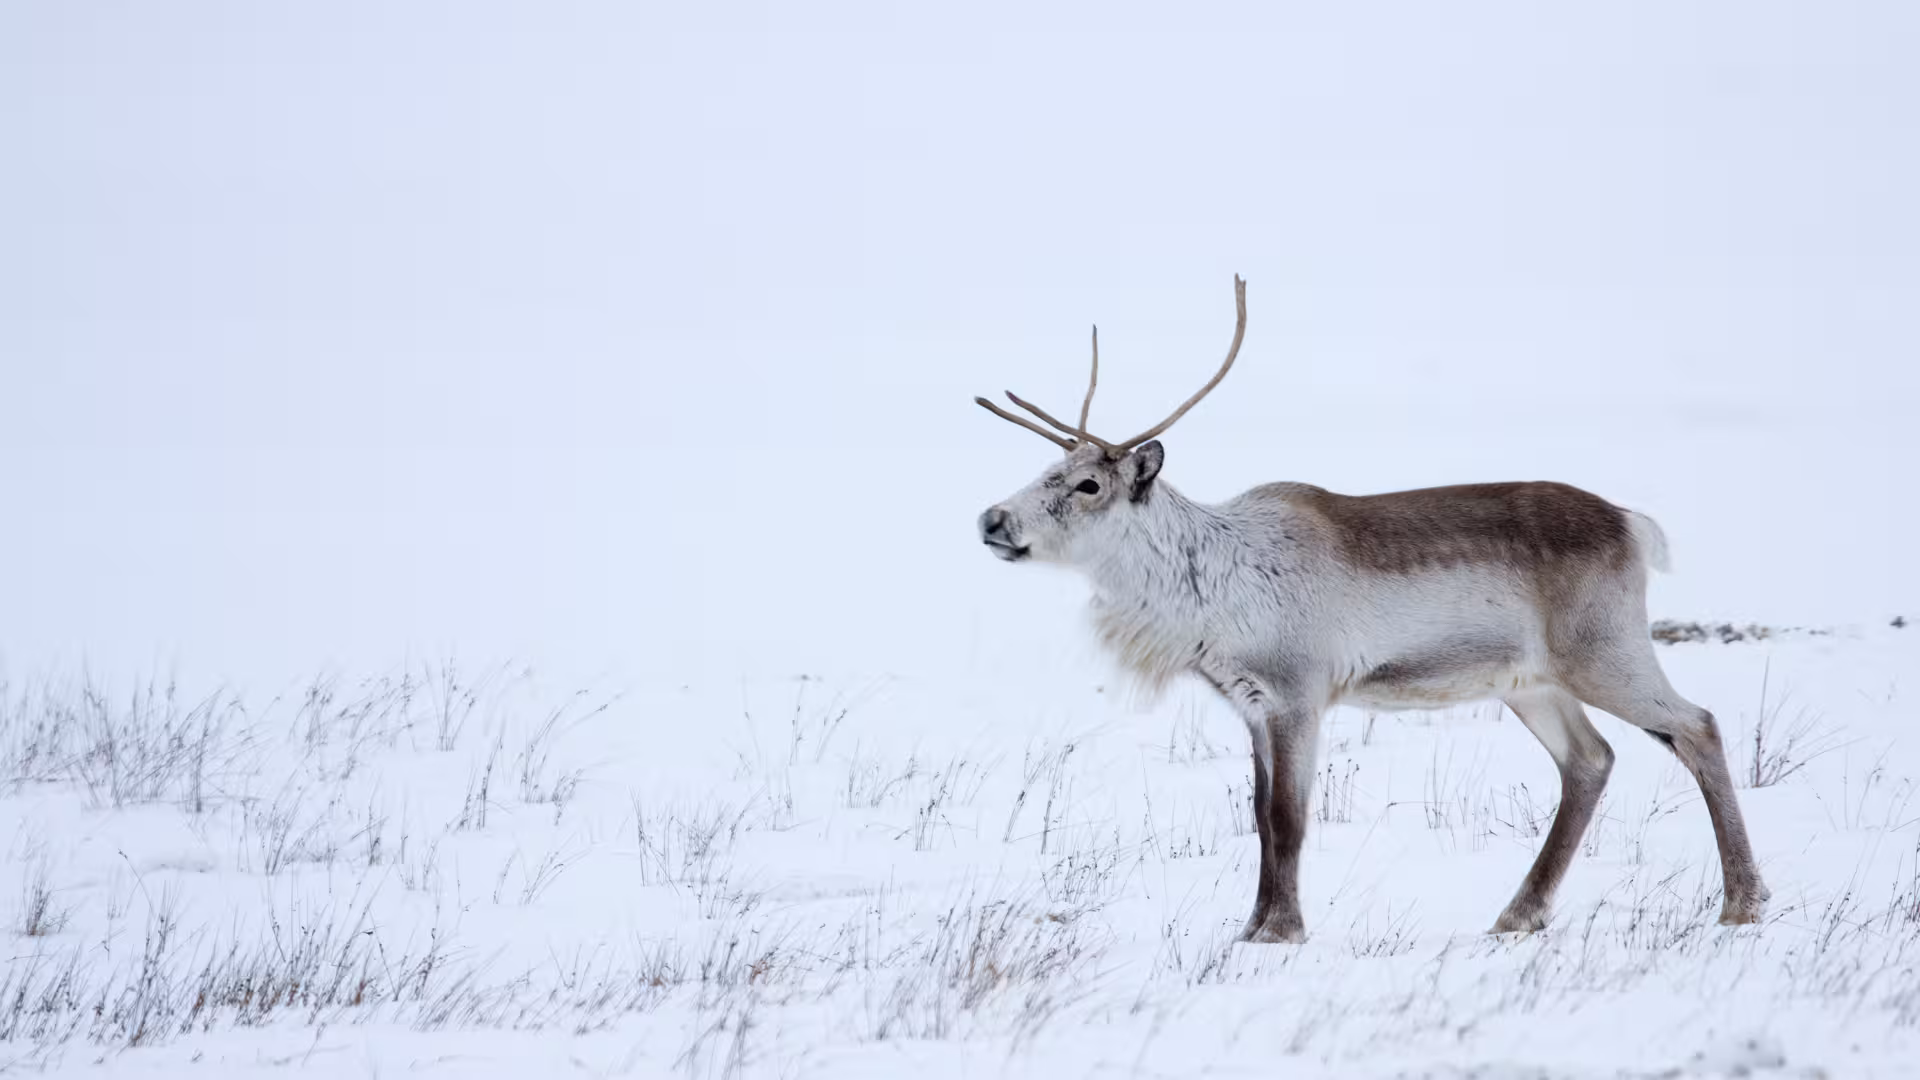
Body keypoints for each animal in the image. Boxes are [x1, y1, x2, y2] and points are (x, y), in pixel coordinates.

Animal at [973, 276, 1768, 943]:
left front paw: (1282, 932)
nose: (991, 519)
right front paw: (1252, 925)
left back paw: (1742, 901)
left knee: (1696, 726)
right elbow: (1260, 817)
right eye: (1047, 471)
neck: (1209, 593)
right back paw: (1519, 914)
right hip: (1531, 682)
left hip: (1604, 652)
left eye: (1087, 484)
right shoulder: (1251, 704)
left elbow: (1289, 819)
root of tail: (1632, 525)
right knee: (1590, 759)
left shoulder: (1298, 692)